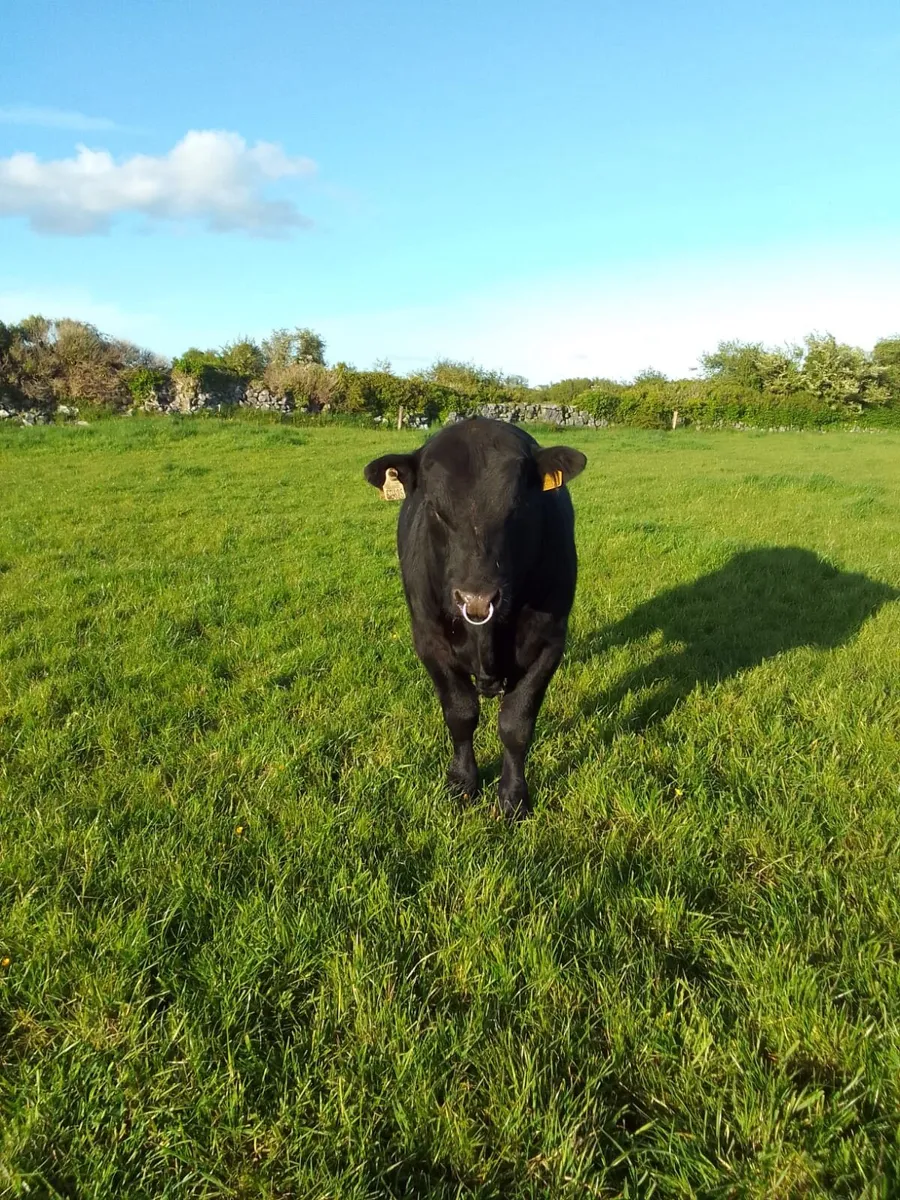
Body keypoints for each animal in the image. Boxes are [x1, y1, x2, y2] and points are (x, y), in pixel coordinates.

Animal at [364, 417, 587, 818]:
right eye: (434, 507)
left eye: (518, 505)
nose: (477, 597)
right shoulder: (429, 642)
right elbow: (461, 714)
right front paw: (463, 782)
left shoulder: (549, 643)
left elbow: (515, 724)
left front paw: (513, 796)